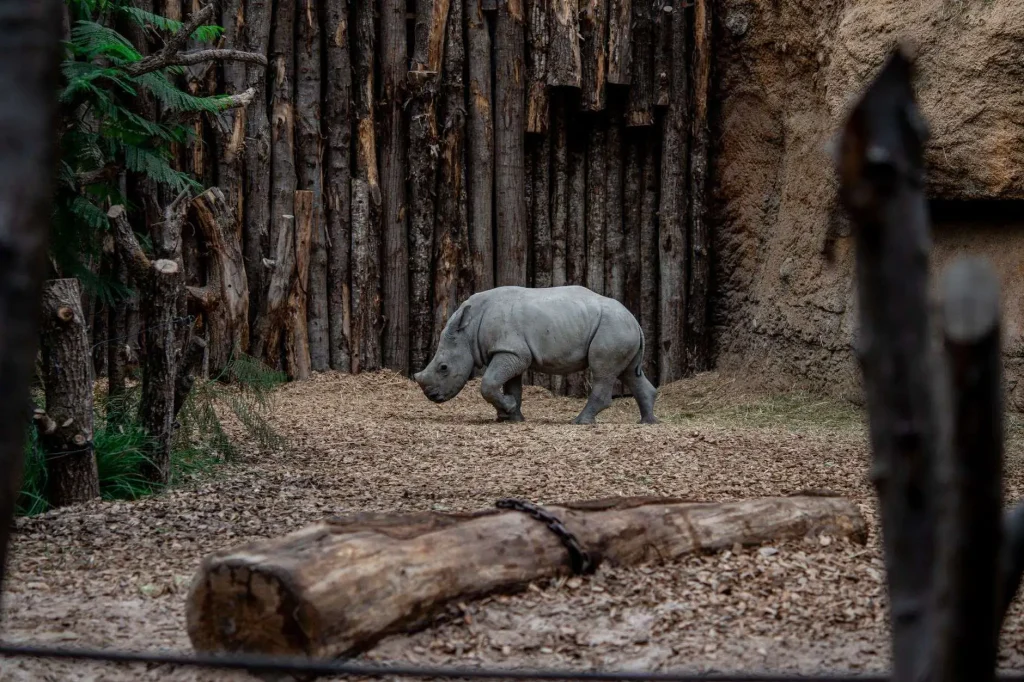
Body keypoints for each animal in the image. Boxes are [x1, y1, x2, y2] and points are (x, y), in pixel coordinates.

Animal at [413, 285, 658, 424]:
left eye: (443, 368)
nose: (432, 396)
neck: (469, 330)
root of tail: (635, 319)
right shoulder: (510, 351)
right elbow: (511, 385)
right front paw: (510, 416)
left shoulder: (512, 351)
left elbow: (489, 383)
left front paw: (508, 409)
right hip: (620, 328)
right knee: (629, 372)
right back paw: (648, 422)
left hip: (613, 327)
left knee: (603, 372)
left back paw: (580, 422)